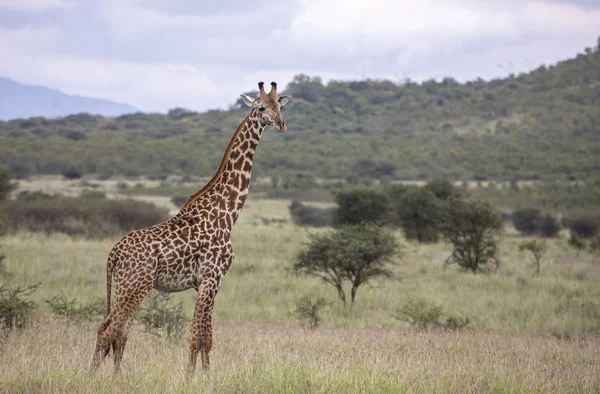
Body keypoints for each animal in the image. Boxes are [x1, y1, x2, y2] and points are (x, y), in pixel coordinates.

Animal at [89, 81, 292, 374]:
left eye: (280, 106)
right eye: (262, 107)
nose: (281, 124)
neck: (227, 214)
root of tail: (113, 254)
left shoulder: (209, 282)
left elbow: (207, 337)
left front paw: (205, 376)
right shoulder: (211, 277)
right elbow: (196, 335)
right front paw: (189, 377)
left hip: (125, 286)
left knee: (118, 331)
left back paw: (116, 377)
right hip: (134, 285)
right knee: (108, 330)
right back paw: (93, 377)